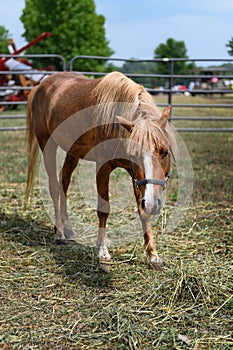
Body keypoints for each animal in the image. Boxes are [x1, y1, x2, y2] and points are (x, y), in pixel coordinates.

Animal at [25, 70, 175, 268]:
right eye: (134, 154)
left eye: (165, 152)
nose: (153, 203)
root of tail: (40, 86)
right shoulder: (103, 167)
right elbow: (104, 209)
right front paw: (102, 252)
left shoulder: (137, 178)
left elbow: (142, 211)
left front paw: (153, 255)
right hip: (47, 145)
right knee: (54, 187)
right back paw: (59, 233)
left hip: (73, 152)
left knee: (64, 181)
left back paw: (68, 228)